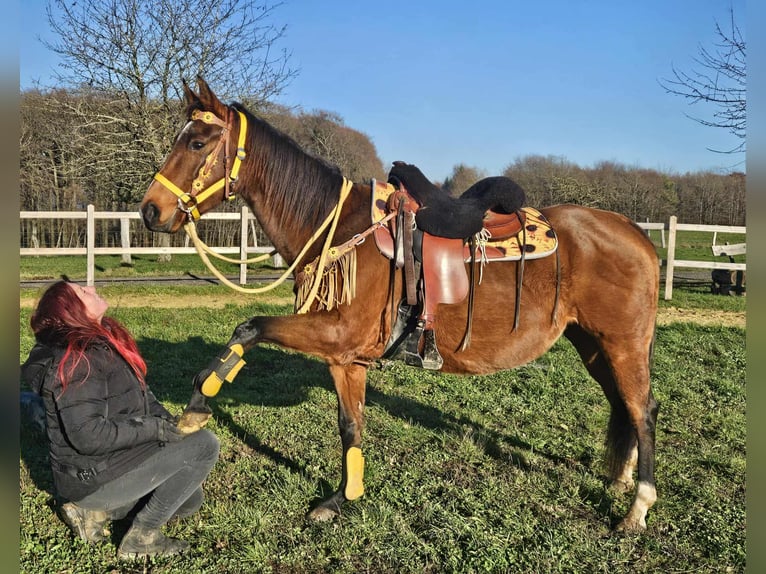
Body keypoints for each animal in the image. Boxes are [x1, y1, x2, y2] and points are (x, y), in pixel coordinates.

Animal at [139, 77, 660, 532]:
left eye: (197, 143)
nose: (149, 210)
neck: (339, 227)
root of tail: (637, 234)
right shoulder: (347, 357)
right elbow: (351, 426)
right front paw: (342, 498)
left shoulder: (335, 333)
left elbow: (248, 328)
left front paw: (195, 407)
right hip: (593, 344)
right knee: (624, 406)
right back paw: (619, 480)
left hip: (623, 344)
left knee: (643, 410)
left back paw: (637, 509)